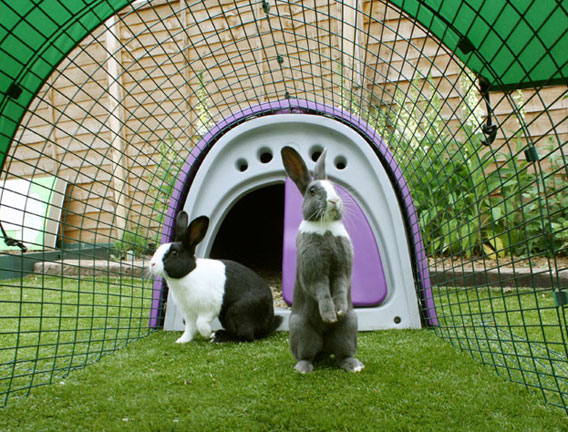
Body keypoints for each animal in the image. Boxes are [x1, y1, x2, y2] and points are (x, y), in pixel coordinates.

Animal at [149, 211, 282, 342]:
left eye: (174, 253)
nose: (152, 264)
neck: (189, 273)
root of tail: (269, 322)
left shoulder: (208, 308)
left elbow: (200, 323)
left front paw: (207, 333)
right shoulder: (188, 313)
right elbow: (190, 329)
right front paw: (182, 341)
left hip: (236, 311)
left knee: (246, 335)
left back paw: (218, 338)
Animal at [280, 146, 364, 374]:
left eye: (334, 187)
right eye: (312, 191)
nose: (334, 201)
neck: (325, 225)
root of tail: (324, 350)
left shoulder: (343, 268)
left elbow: (341, 287)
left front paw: (339, 310)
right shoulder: (314, 271)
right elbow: (321, 290)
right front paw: (329, 315)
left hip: (349, 328)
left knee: (343, 354)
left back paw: (355, 366)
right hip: (301, 330)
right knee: (306, 355)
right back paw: (303, 369)